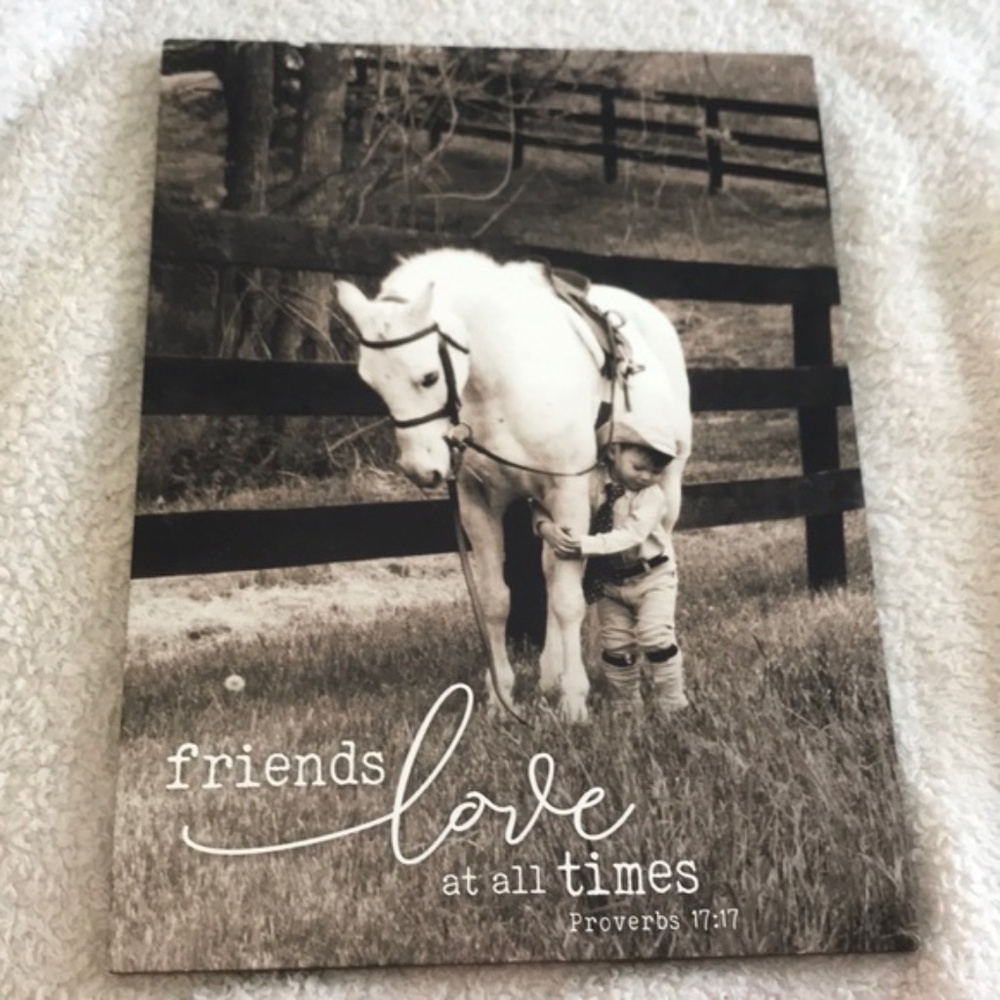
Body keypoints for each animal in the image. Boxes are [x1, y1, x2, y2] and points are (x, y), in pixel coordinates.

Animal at [335, 249, 691, 722]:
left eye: (429, 377)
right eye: (371, 382)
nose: (421, 469)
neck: (504, 381)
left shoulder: (568, 494)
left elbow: (568, 601)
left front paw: (574, 703)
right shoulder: (479, 504)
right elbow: (496, 600)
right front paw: (502, 699)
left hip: (665, 489)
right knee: (551, 573)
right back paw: (550, 674)